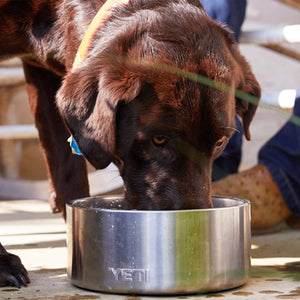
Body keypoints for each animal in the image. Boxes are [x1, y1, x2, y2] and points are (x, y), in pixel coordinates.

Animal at [0, 0, 258, 288]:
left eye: (220, 141)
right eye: (159, 139)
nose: (191, 224)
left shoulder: (43, 74)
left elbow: (68, 171)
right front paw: (2, 263)